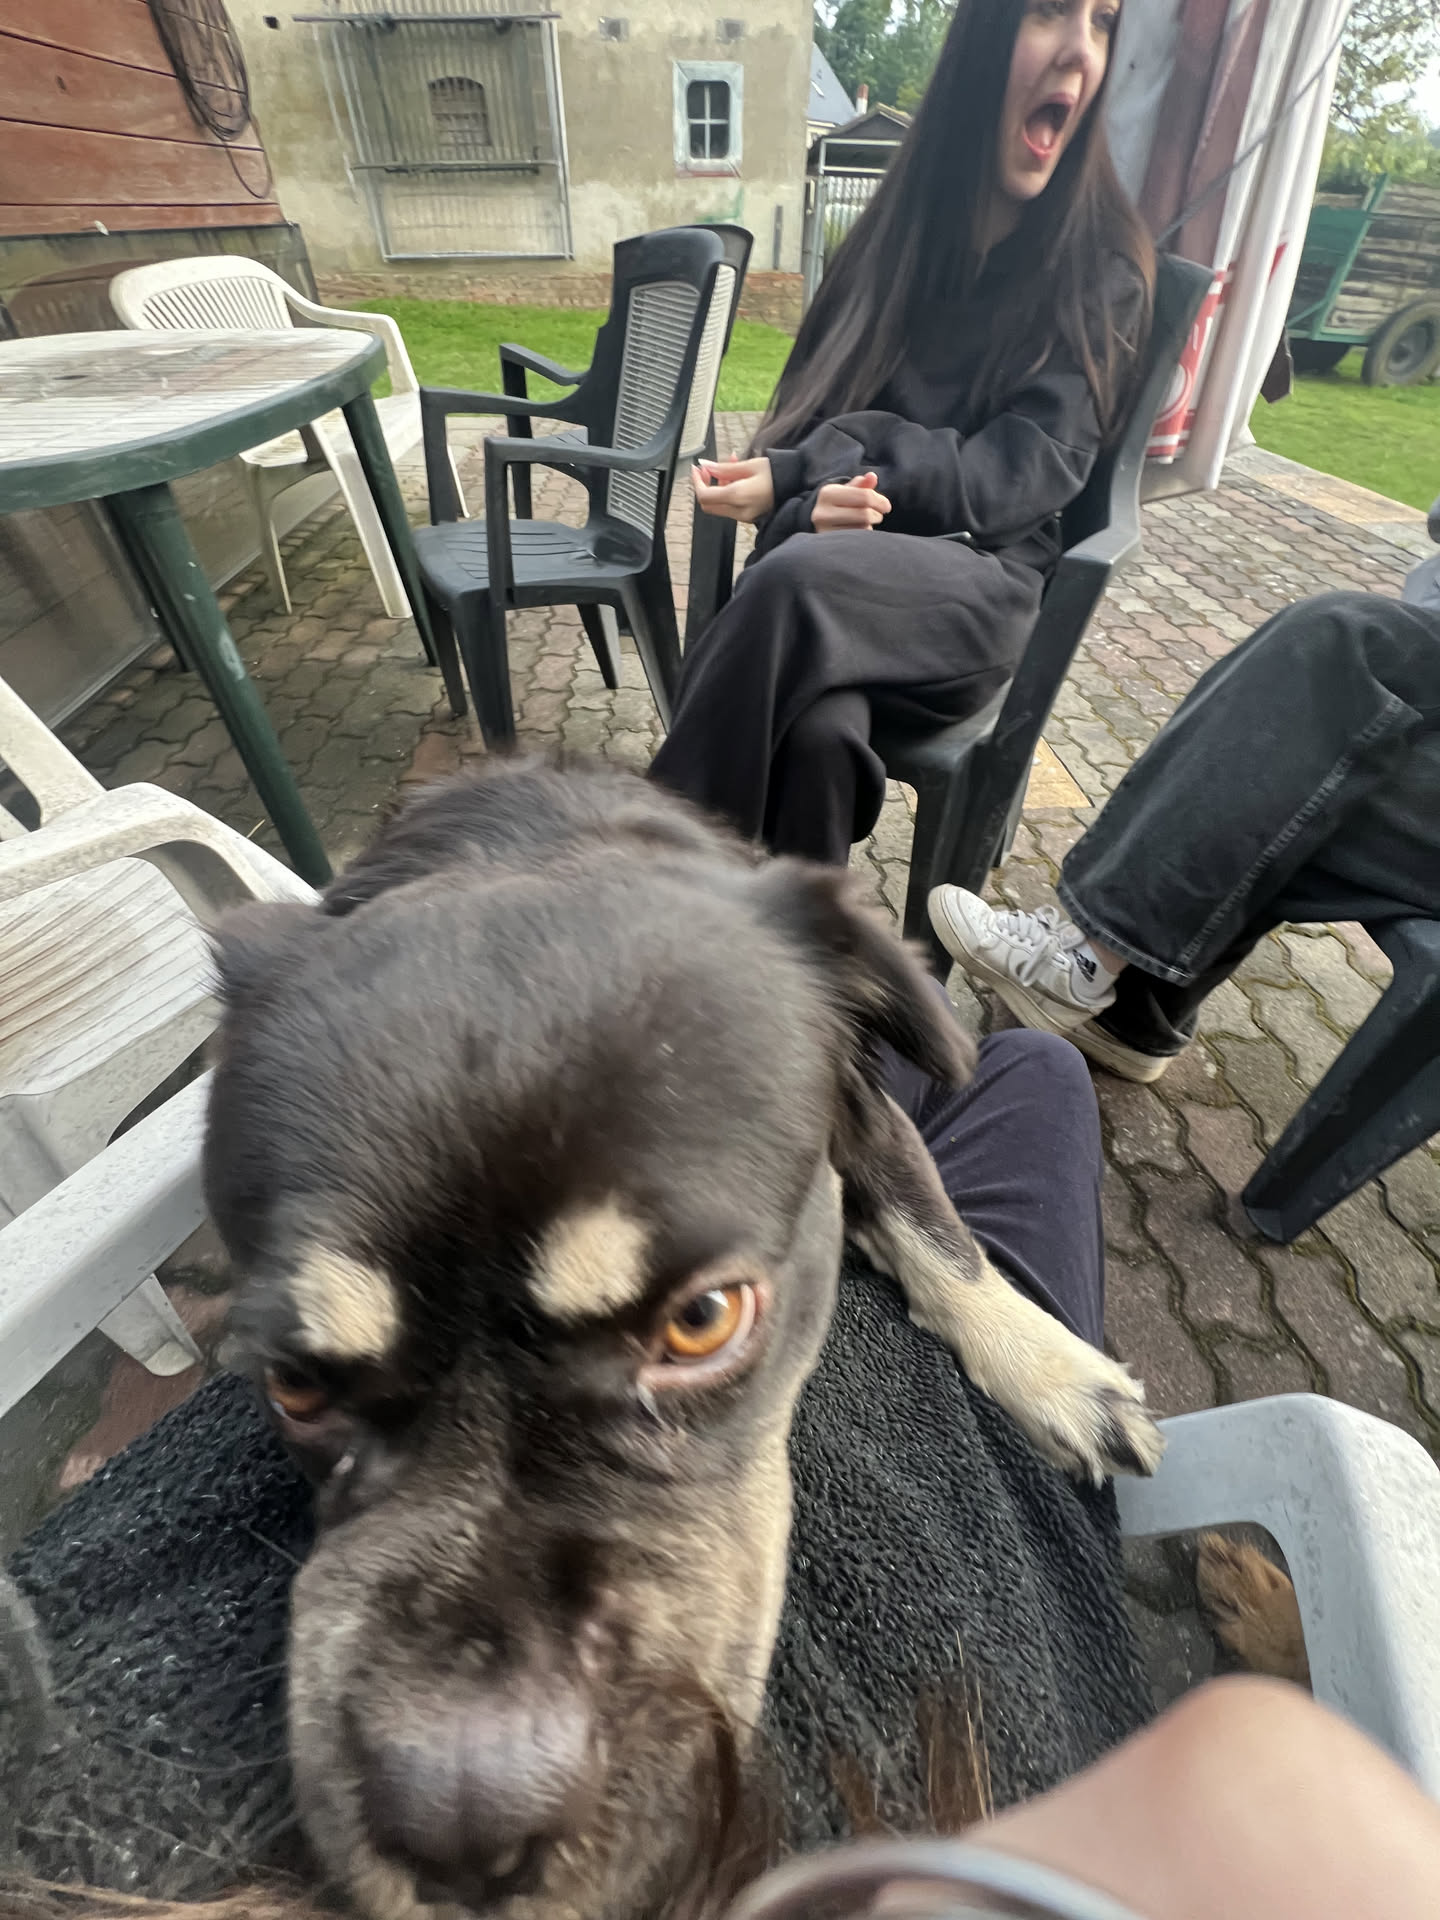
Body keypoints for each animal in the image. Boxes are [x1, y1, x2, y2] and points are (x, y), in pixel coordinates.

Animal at [202, 755, 1163, 1920]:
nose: (465, 1818)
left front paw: (1057, 1374)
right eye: (293, 1384)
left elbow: (936, 1226)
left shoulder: (863, 1105)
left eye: (702, 1321)